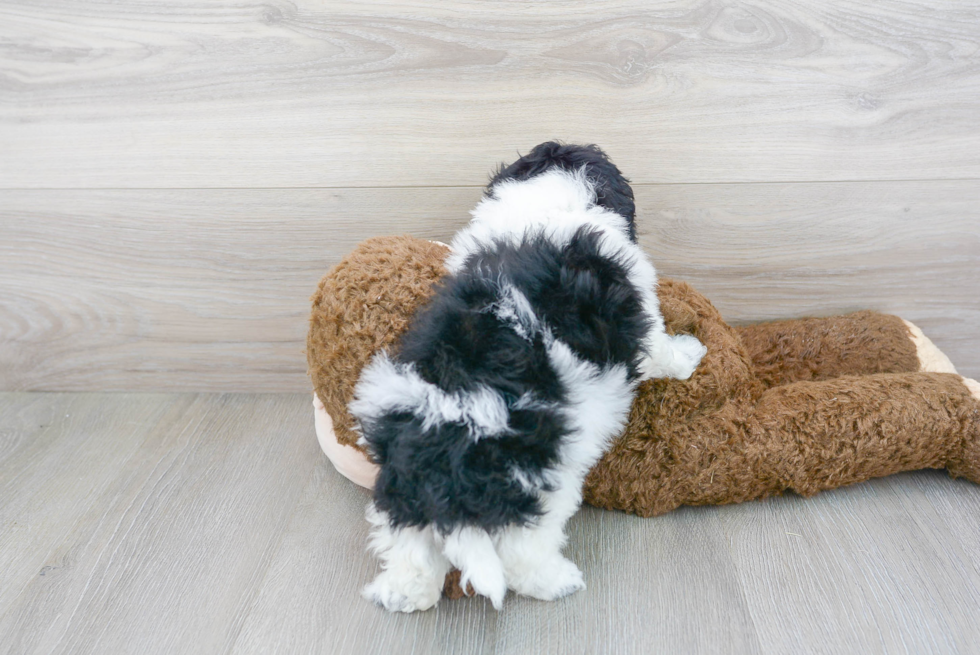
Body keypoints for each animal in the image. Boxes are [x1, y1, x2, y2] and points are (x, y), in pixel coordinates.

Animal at [350, 141, 704, 612]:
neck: (543, 202)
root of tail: (448, 451)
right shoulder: (640, 309)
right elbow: (661, 349)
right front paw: (690, 355)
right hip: (539, 486)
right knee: (522, 556)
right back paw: (557, 582)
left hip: (401, 483)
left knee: (409, 544)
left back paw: (403, 594)